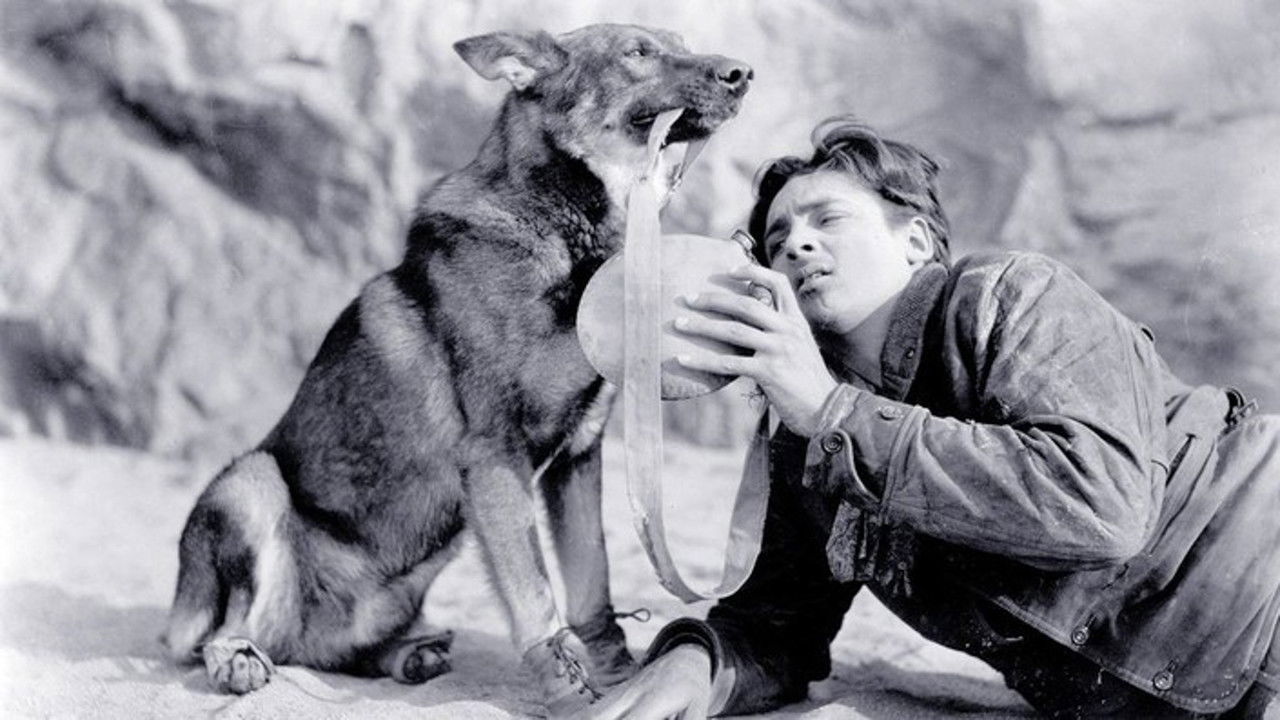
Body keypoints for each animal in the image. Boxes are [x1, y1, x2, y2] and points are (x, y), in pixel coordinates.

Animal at [161, 23, 750, 714]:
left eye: (678, 41)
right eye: (637, 53)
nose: (742, 74)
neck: (566, 235)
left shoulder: (579, 457)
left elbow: (590, 582)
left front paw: (616, 675)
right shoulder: (496, 458)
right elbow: (535, 593)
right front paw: (568, 690)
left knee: (338, 651)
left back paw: (408, 652)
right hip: (251, 481)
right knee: (224, 630)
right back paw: (238, 659)